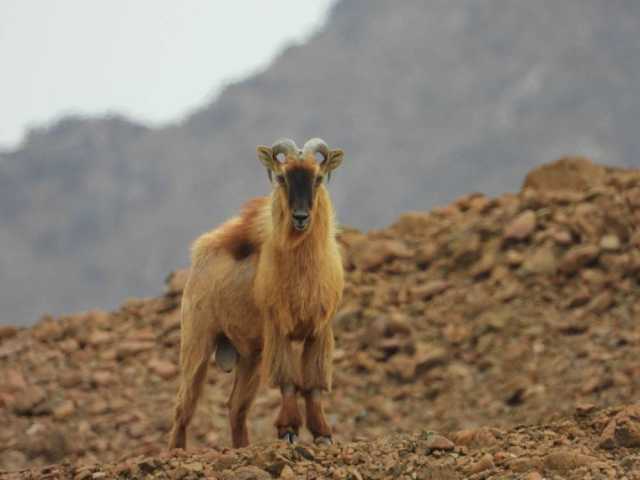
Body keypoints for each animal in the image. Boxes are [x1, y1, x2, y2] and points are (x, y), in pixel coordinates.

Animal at [168, 137, 342, 448]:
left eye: (318, 178)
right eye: (283, 178)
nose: (300, 218)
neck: (304, 272)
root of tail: (199, 253)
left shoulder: (319, 331)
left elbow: (314, 384)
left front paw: (322, 434)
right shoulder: (278, 328)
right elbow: (288, 381)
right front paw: (288, 430)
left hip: (249, 356)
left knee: (235, 406)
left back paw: (242, 446)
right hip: (197, 342)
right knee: (183, 406)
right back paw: (175, 450)